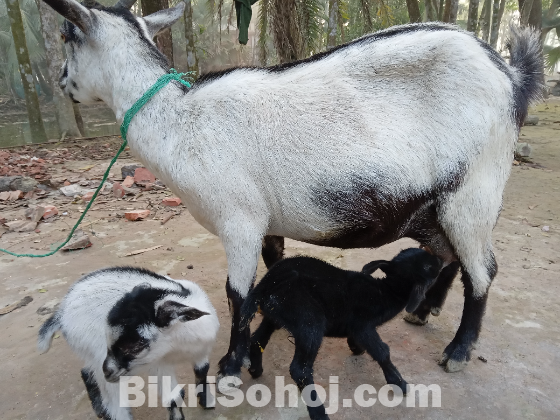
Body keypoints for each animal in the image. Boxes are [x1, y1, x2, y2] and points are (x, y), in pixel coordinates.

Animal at [41, 0, 540, 378]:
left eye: (67, 35)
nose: (61, 82)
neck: (180, 123)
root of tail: (513, 76)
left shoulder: (239, 220)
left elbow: (237, 296)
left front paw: (230, 364)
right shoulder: (267, 223)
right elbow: (272, 272)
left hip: (474, 189)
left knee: (483, 270)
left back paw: (458, 350)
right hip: (438, 203)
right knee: (450, 254)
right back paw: (424, 310)